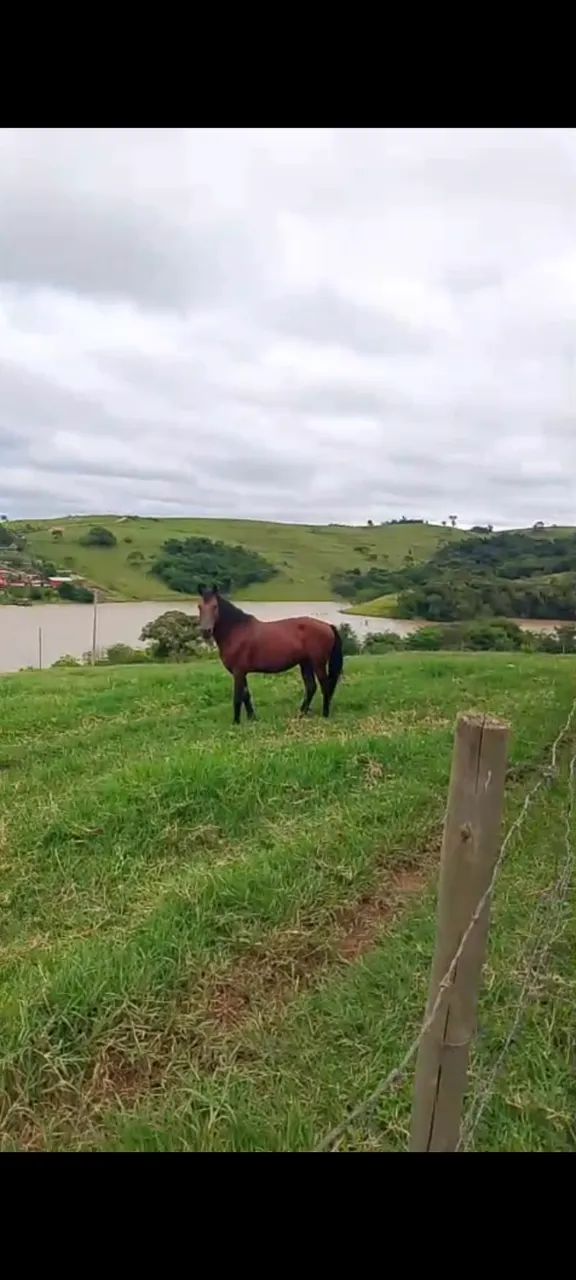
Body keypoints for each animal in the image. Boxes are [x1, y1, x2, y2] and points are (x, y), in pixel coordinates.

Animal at [197, 584, 344, 725]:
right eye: (199, 607)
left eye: (215, 606)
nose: (206, 631)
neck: (236, 631)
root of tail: (328, 626)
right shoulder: (242, 673)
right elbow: (246, 695)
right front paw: (252, 718)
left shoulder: (238, 672)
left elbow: (237, 697)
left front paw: (236, 722)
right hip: (305, 663)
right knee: (311, 687)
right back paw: (301, 713)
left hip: (318, 663)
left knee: (325, 686)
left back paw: (324, 714)